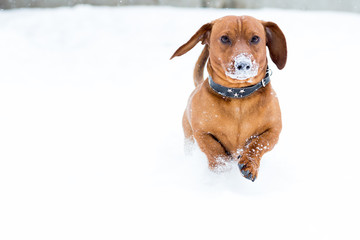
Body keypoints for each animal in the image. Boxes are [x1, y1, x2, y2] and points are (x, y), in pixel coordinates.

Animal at [171, 15, 286, 181]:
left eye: (255, 38)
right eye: (224, 38)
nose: (243, 64)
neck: (238, 96)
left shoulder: (274, 130)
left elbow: (258, 144)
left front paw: (249, 164)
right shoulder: (201, 132)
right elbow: (213, 148)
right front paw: (221, 166)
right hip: (189, 138)